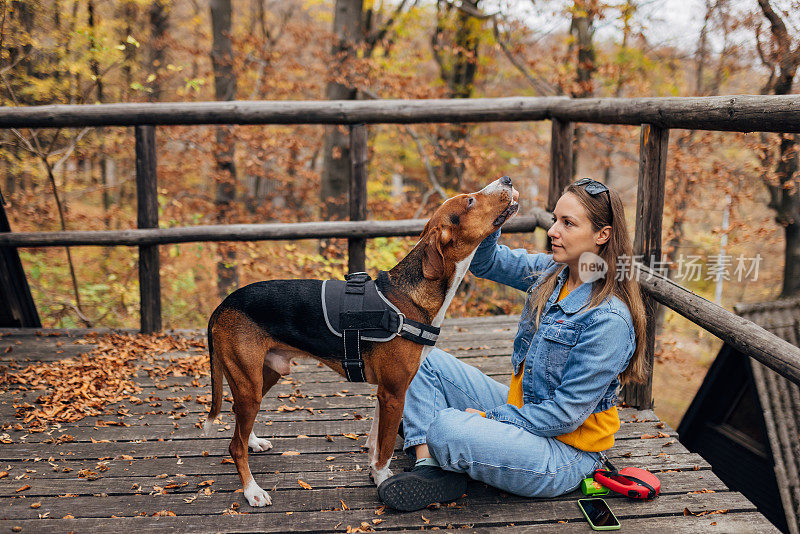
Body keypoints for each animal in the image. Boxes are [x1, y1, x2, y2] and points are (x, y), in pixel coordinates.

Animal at [203, 178, 520, 508]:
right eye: (470, 201)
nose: (508, 180)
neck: (410, 297)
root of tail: (222, 305)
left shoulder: (387, 392)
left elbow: (376, 441)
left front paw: (374, 470)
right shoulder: (394, 393)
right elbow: (385, 448)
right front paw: (382, 479)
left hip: (265, 375)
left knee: (239, 424)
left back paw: (253, 441)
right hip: (249, 383)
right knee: (235, 445)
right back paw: (252, 490)